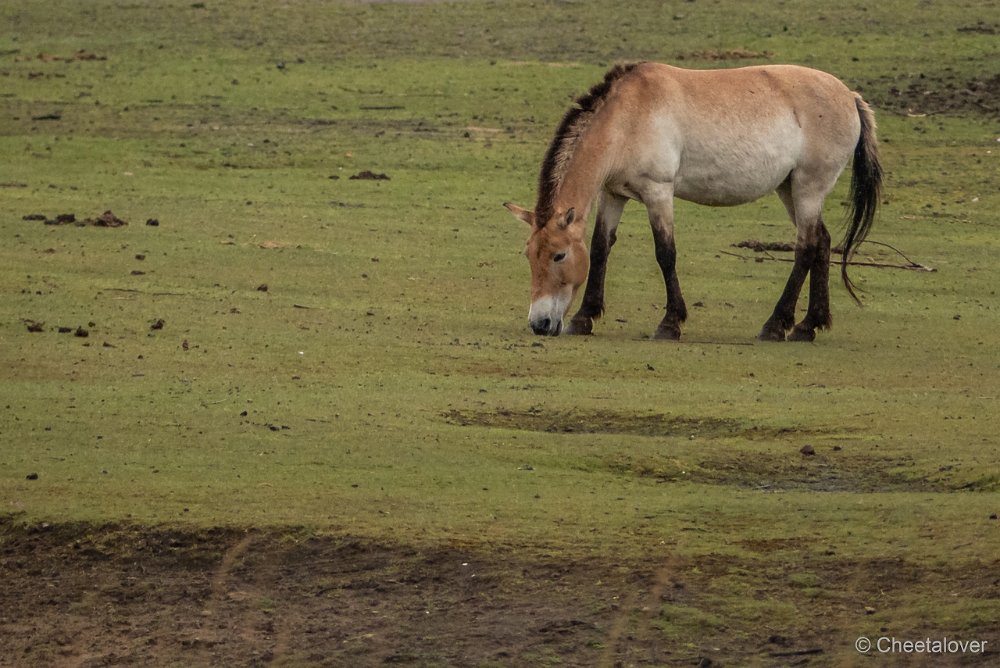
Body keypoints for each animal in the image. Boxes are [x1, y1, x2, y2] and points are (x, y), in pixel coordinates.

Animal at [508, 62, 884, 342]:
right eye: (528, 255)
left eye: (559, 255)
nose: (539, 324)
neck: (628, 116)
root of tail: (850, 96)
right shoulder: (612, 194)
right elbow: (601, 249)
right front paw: (584, 318)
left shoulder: (658, 193)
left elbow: (665, 253)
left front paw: (670, 324)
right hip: (789, 189)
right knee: (821, 241)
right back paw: (809, 326)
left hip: (808, 188)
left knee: (806, 247)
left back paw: (776, 325)